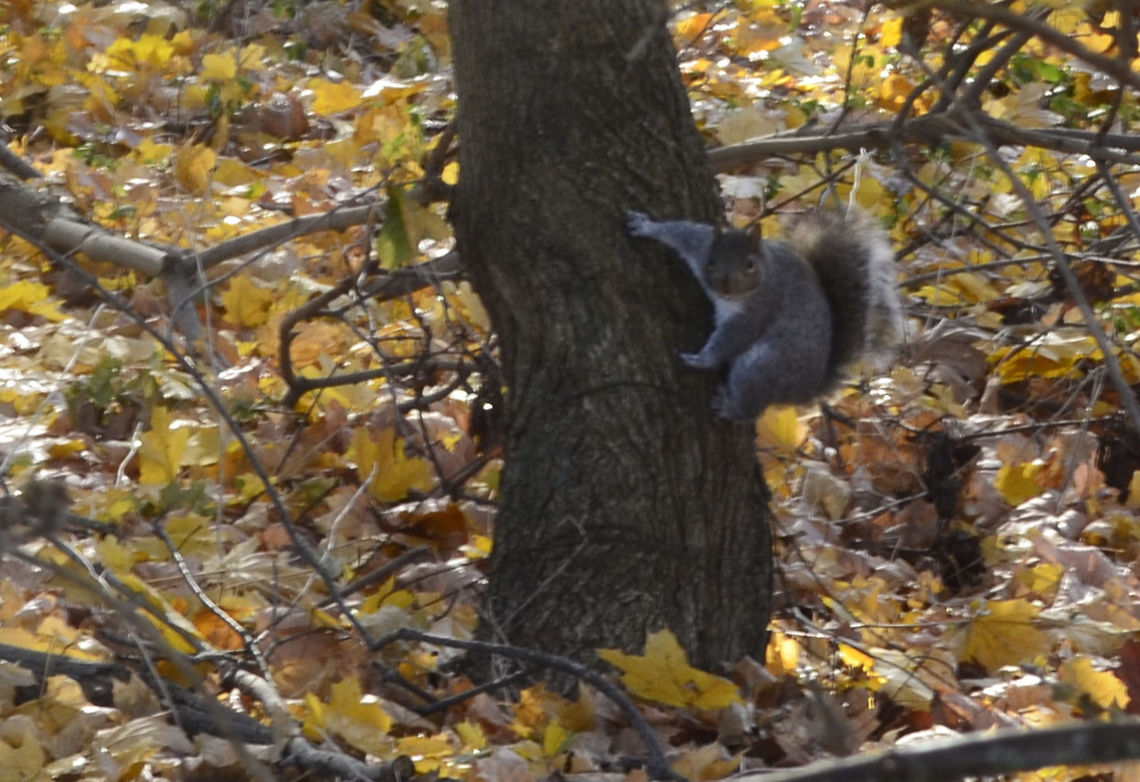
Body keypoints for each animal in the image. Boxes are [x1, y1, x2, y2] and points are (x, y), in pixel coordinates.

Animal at [626, 209, 904, 420]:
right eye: (711, 262)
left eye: (749, 264)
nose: (725, 288)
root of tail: (805, 389)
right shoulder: (701, 245)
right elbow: (681, 232)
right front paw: (646, 226)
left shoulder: (759, 308)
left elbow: (733, 337)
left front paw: (701, 360)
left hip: (760, 368)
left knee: (751, 406)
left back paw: (731, 408)